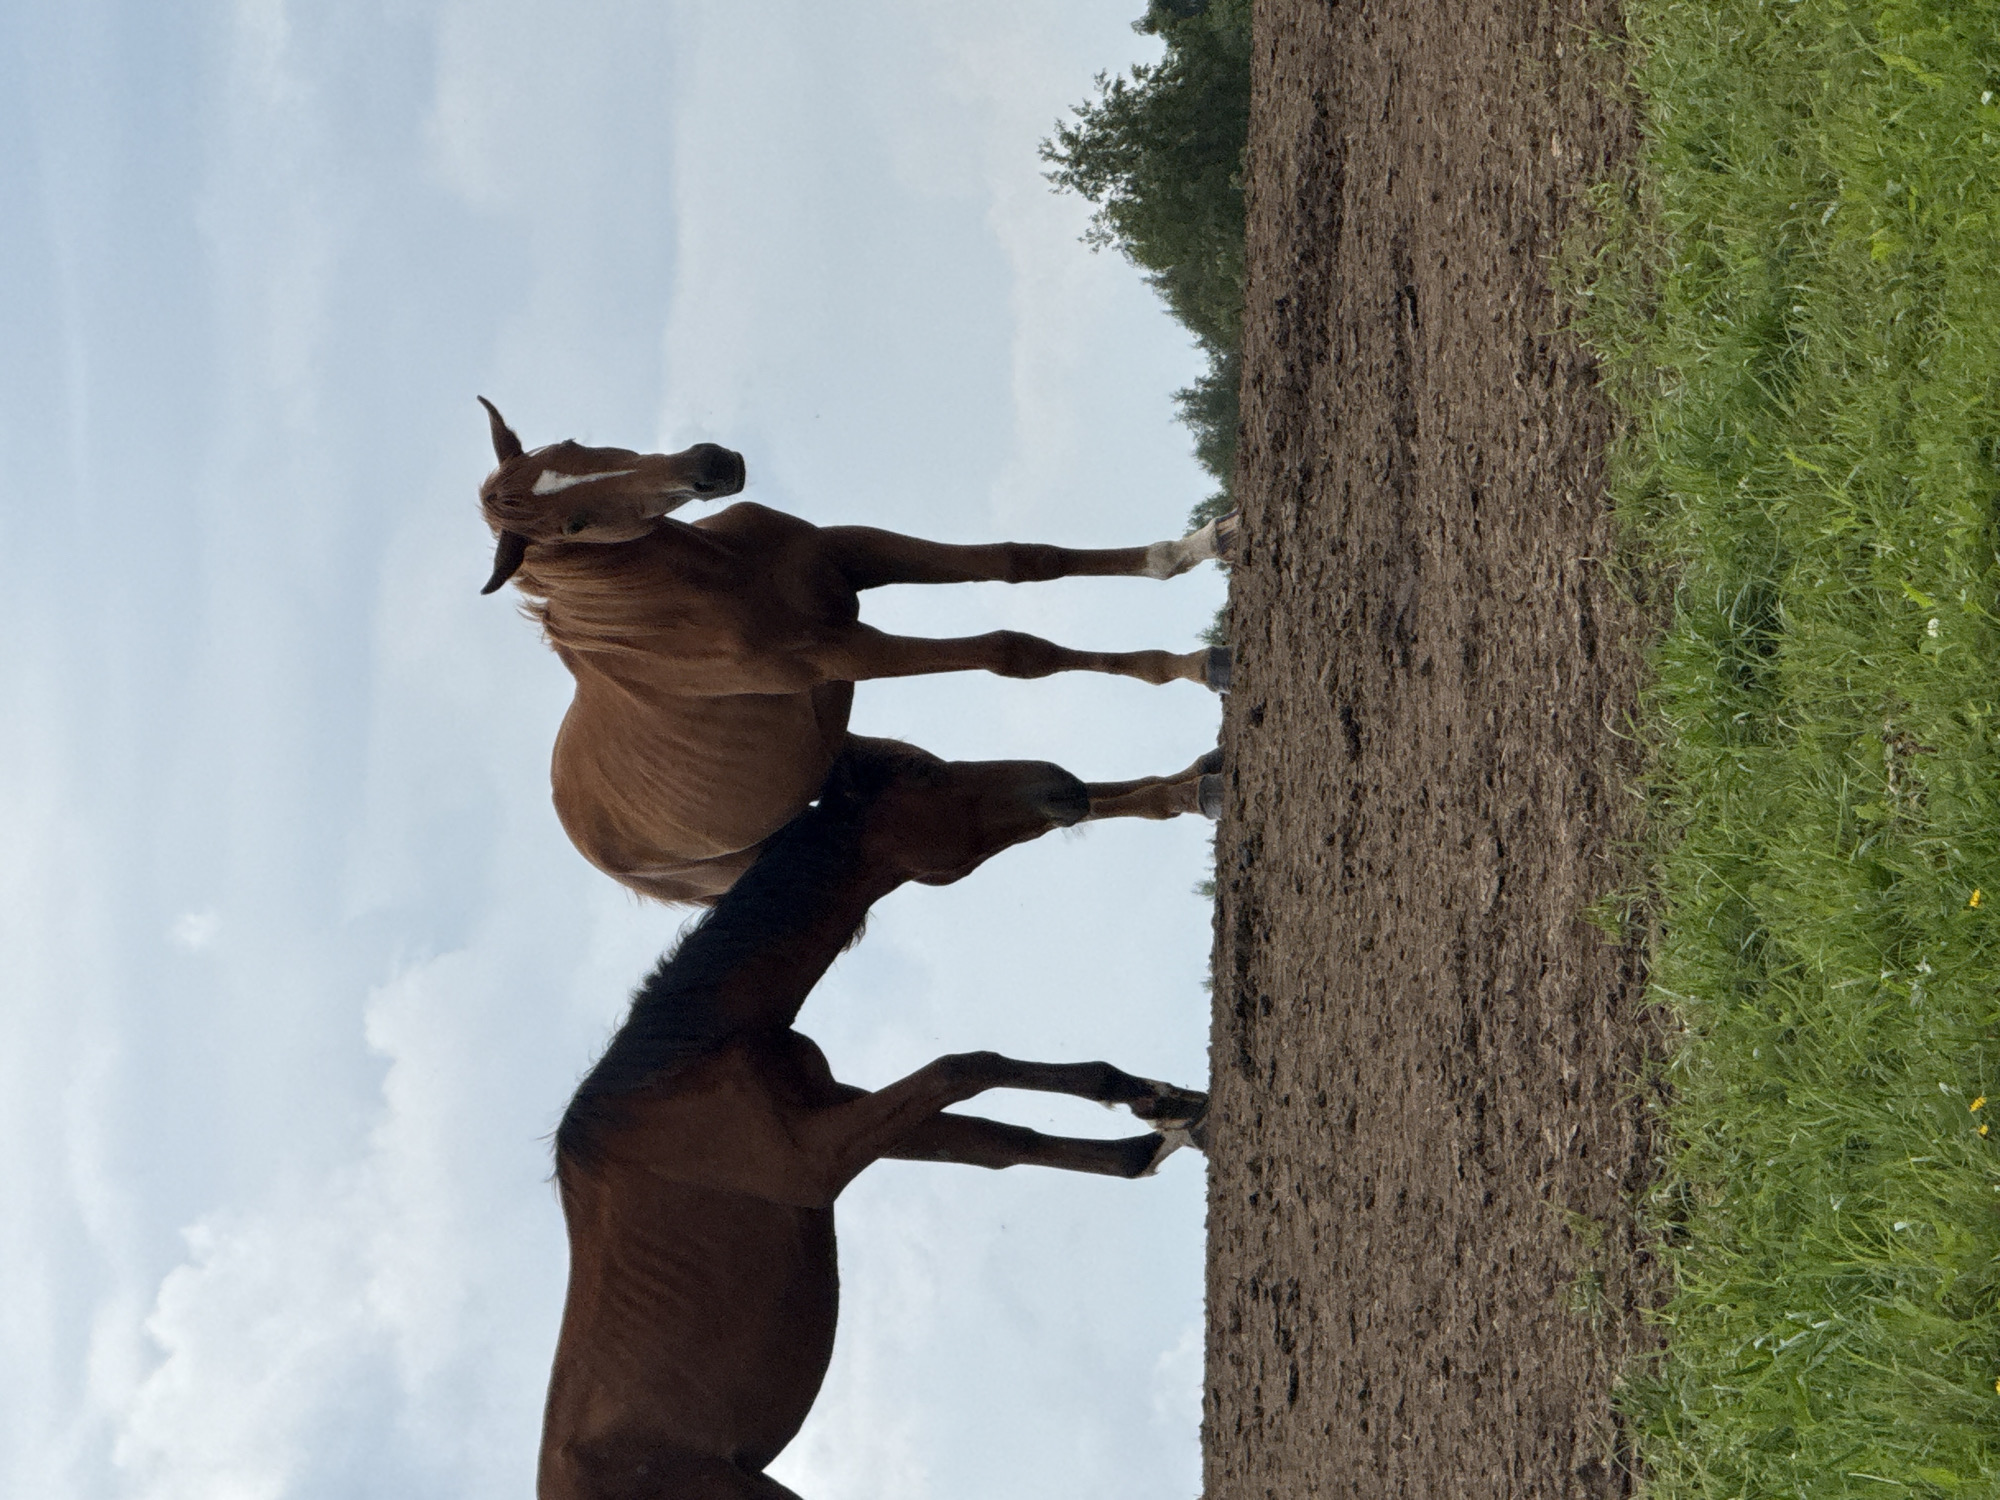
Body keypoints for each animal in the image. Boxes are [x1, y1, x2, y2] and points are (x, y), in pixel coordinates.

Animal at [474, 399, 1234, 905]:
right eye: (574, 523)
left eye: (571, 444)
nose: (709, 467)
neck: (712, 587)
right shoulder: (850, 654)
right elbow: (1017, 652)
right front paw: (1197, 660)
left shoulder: (854, 553)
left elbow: (1025, 560)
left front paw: (1196, 556)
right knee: (1034, 808)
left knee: (1062, 794)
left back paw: (1201, 783)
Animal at [538, 738, 1209, 1500]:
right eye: (922, 773)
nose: (1060, 782)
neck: (693, 1057)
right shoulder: (816, 1157)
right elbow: (964, 1067)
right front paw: (1158, 1109)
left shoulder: (851, 1114)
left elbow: (1003, 1141)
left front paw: (1164, 1117)